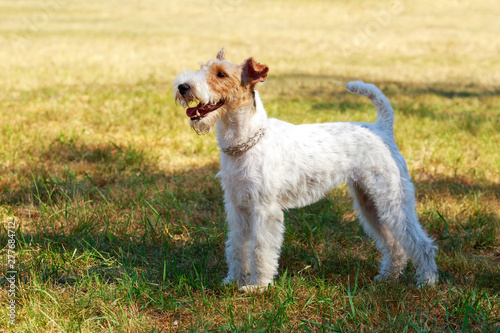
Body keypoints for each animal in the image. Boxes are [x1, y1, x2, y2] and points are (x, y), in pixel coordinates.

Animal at [175, 48, 438, 290]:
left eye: (221, 74)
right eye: (201, 67)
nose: (182, 87)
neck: (247, 140)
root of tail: (381, 128)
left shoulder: (264, 209)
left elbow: (260, 248)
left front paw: (257, 286)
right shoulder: (237, 206)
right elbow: (237, 245)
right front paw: (233, 280)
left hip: (392, 199)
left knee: (420, 242)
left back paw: (427, 282)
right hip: (370, 203)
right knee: (394, 244)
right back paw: (388, 277)